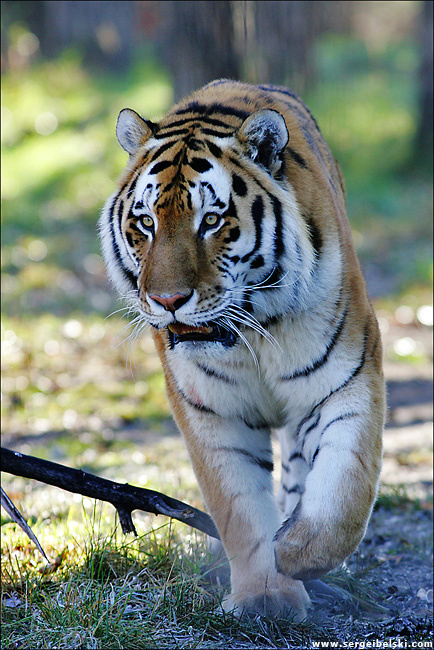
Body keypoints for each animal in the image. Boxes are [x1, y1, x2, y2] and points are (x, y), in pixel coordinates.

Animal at [99, 79, 385, 620]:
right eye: (145, 223)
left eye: (212, 220)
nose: (167, 301)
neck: (252, 331)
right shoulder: (209, 406)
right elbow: (238, 502)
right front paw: (265, 597)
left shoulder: (346, 379)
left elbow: (345, 486)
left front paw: (297, 552)